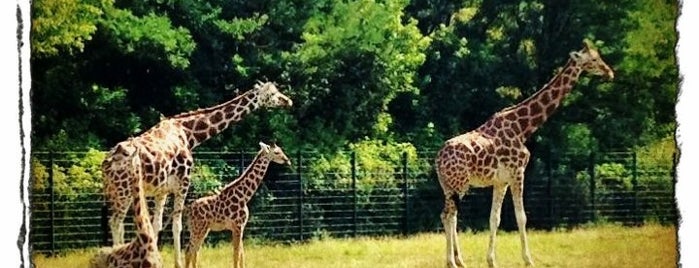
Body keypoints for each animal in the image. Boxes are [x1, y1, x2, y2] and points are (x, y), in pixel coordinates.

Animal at [100, 81, 292, 268]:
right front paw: (176, 264)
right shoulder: (183, 182)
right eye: (273, 94)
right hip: (124, 192)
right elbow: (177, 226)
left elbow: (156, 226)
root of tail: (106, 164)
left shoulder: (161, 190)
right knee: (116, 222)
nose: (288, 101)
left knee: (117, 223)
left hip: (114, 192)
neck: (189, 134)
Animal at [434, 40, 616, 268]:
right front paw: (528, 259)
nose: (609, 72)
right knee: (448, 215)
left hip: (449, 186)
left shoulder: (500, 181)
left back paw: (459, 260)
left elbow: (495, 218)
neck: (523, 128)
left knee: (450, 216)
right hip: (458, 184)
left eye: (598, 56)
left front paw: (491, 260)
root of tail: (437, 159)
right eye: (593, 59)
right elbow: (521, 217)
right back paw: (451, 261)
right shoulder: (518, 172)